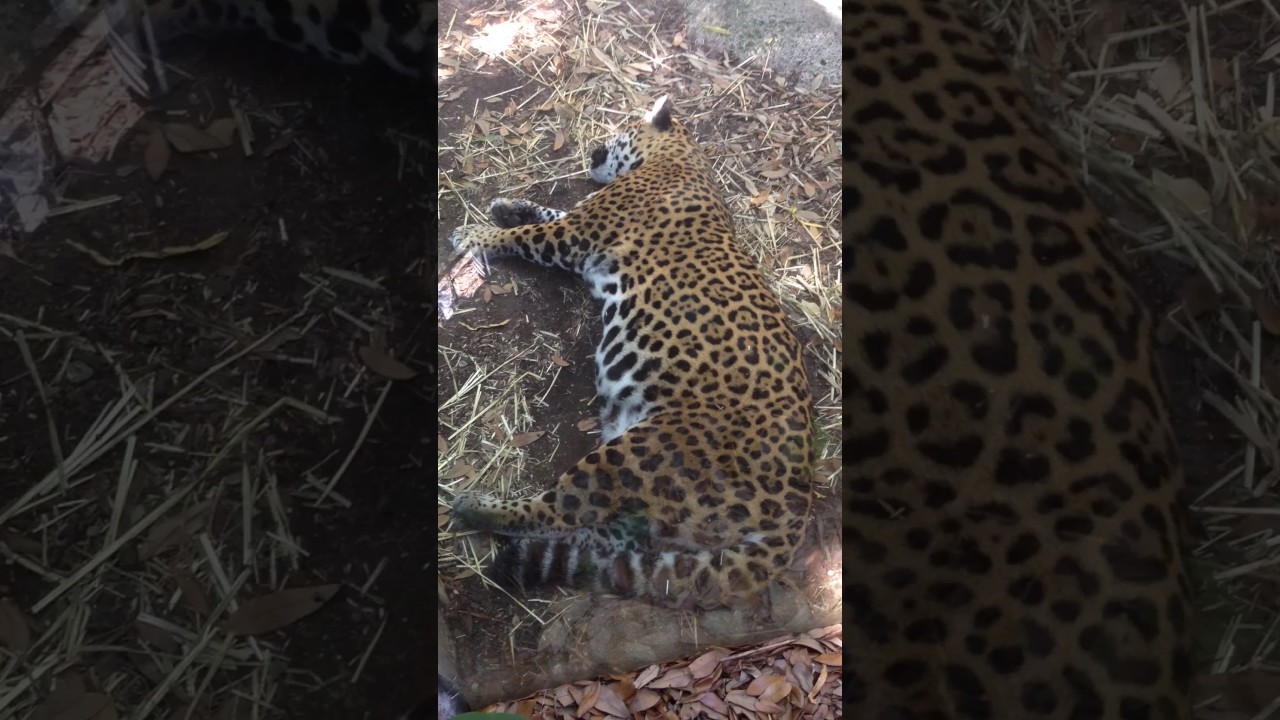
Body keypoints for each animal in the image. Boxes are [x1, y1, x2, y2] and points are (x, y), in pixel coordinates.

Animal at [445, 96, 815, 611]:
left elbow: (527, 234)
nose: (594, 149)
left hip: (637, 457)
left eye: (619, 128)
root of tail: (796, 506)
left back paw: (478, 507)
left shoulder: (576, 235)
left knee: (557, 512)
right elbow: (548, 210)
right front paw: (508, 206)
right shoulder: (577, 224)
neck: (680, 155)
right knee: (606, 543)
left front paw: (478, 234)